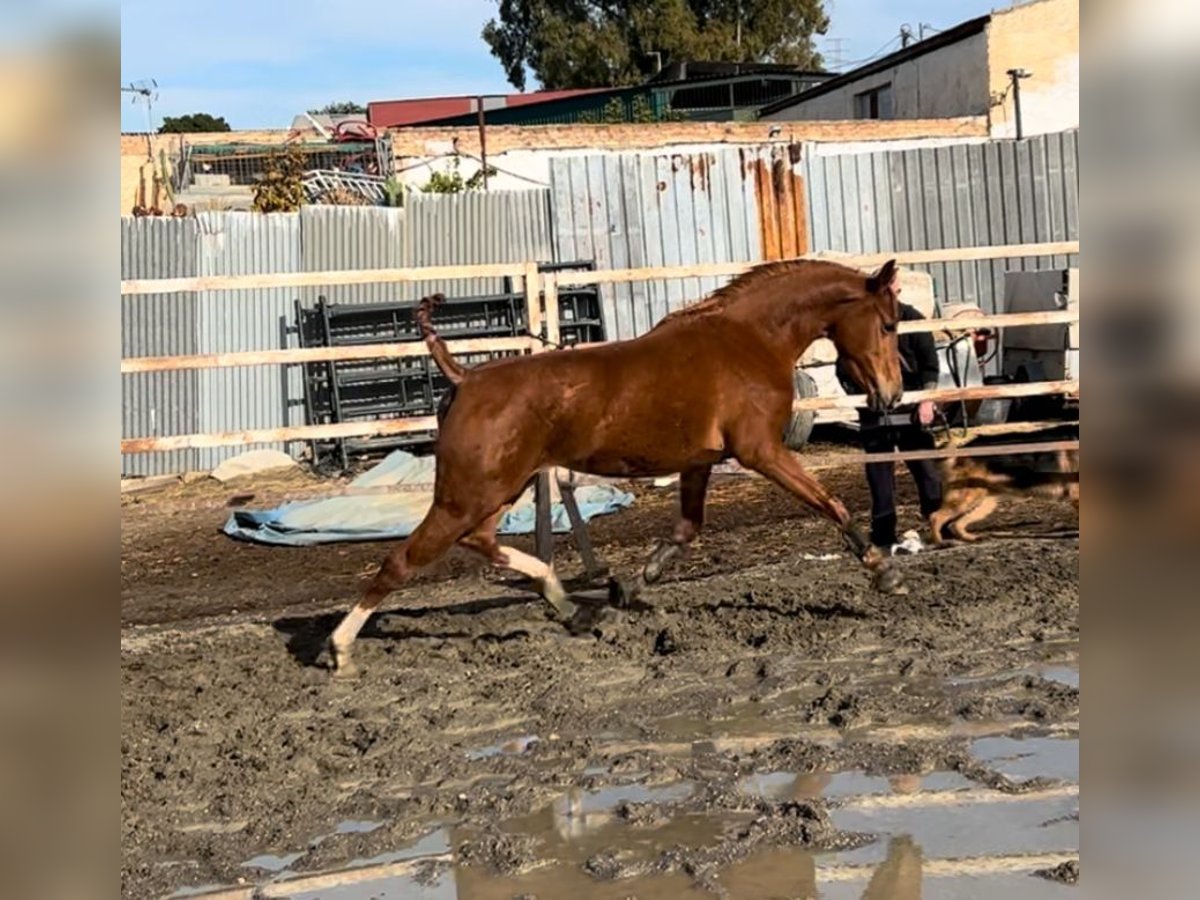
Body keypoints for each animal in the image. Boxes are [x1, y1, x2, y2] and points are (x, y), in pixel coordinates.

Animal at [324, 256, 902, 672]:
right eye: (889, 324)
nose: (892, 394)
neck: (750, 340)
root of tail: (463, 377)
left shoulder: (700, 462)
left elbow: (685, 530)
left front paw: (629, 589)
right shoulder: (760, 451)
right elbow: (829, 503)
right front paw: (882, 570)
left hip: (497, 490)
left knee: (481, 542)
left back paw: (573, 606)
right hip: (468, 494)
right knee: (404, 560)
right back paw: (341, 650)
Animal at [926, 427, 1080, 547]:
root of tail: (961, 450)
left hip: (984, 504)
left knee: (955, 524)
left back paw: (971, 538)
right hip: (966, 499)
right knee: (935, 517)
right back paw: (941, 543)